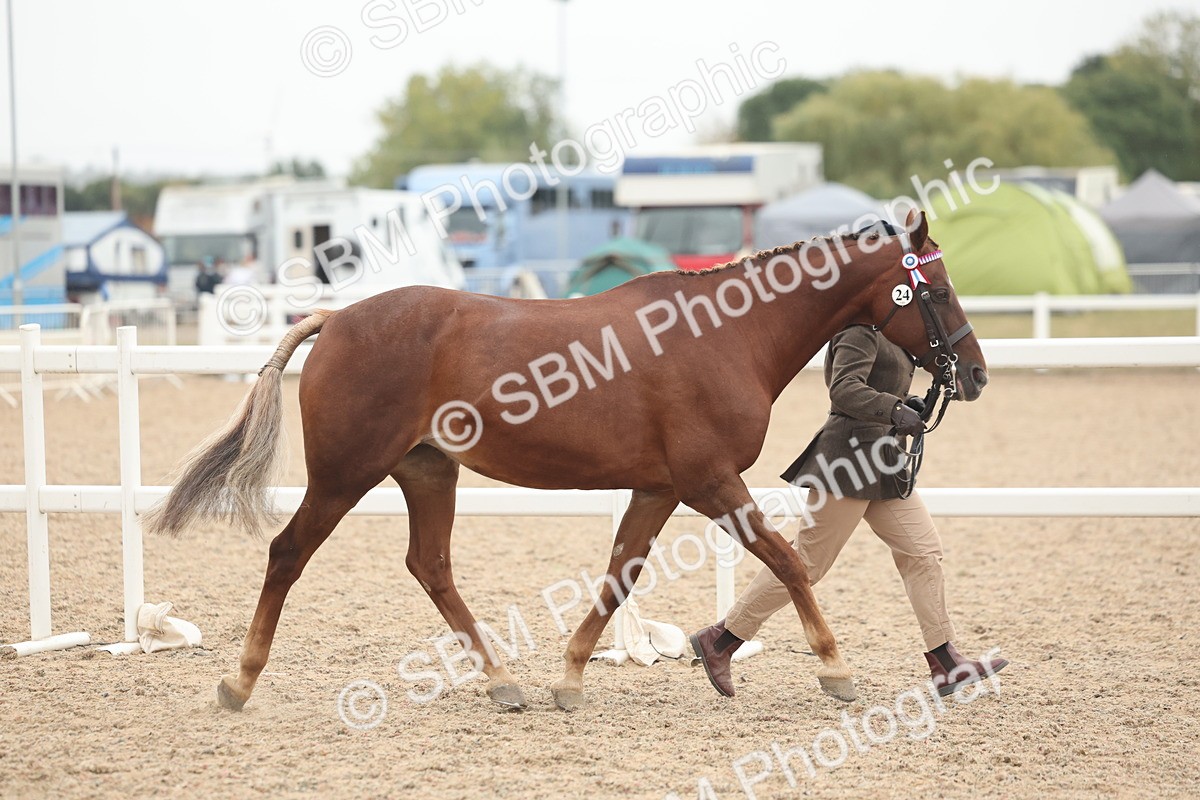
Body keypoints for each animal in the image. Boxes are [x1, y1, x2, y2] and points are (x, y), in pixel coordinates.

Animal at [146, 209, 987, 712]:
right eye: (940, 290)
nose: (973, 375)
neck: (726, 336)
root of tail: (337, 316)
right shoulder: (709, 481)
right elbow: (787, 561)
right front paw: (835, 670)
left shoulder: (659, 488)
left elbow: (620, 576)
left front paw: (571, 676)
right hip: (345, 474)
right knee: (289, 553)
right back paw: (238, 681)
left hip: (427, 469)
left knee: (431, 566)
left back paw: (504, 682)